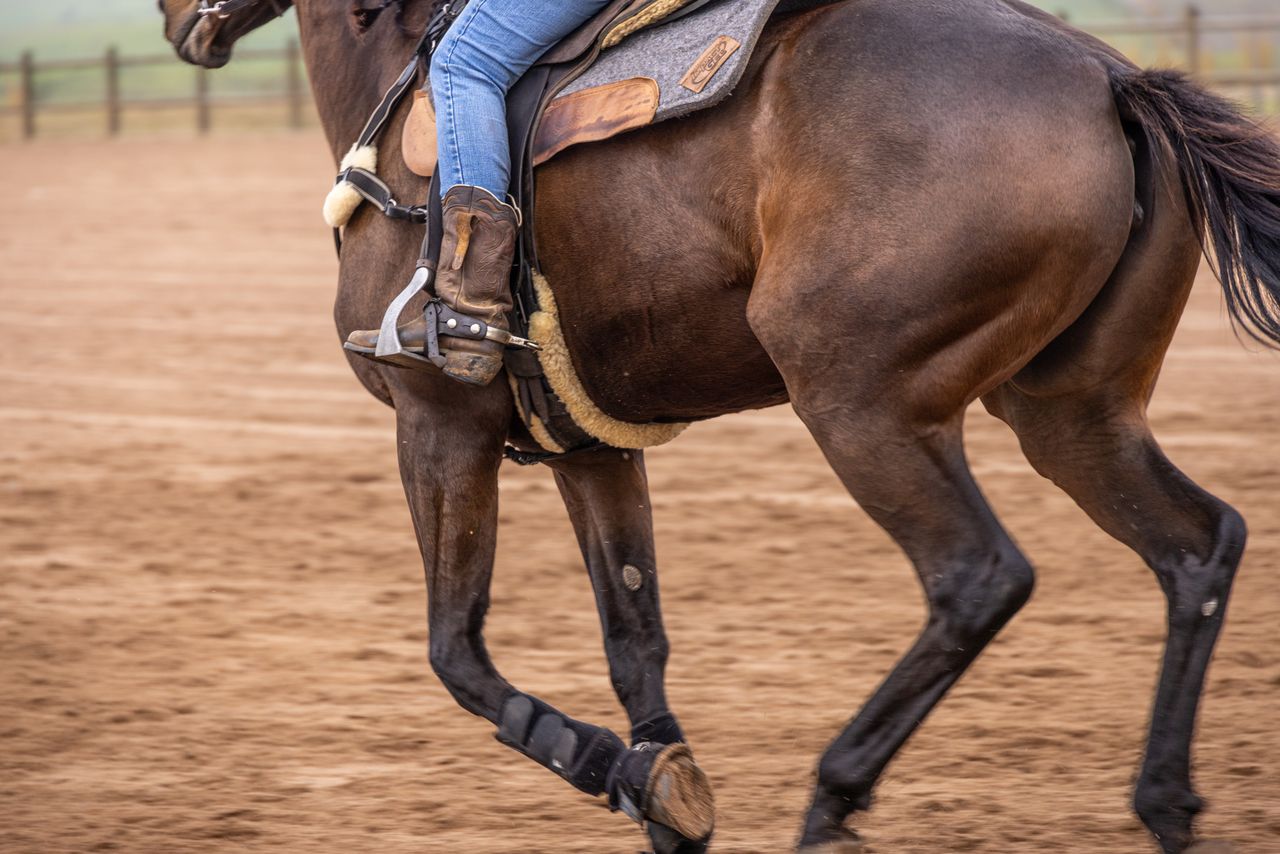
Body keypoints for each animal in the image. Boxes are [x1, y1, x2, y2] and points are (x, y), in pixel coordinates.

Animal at [158, 0, 1280, 851]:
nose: (178, 21)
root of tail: (1109, 80)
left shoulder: (437, 426)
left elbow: (457, 651)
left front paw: (610, 764)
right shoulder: (593, 445)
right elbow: (633, 638)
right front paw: (662, 783)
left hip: (860, 401)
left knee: (978, 576)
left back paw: (834, 797)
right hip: (1072, 414)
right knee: (1197, 546)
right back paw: (1164, 803)